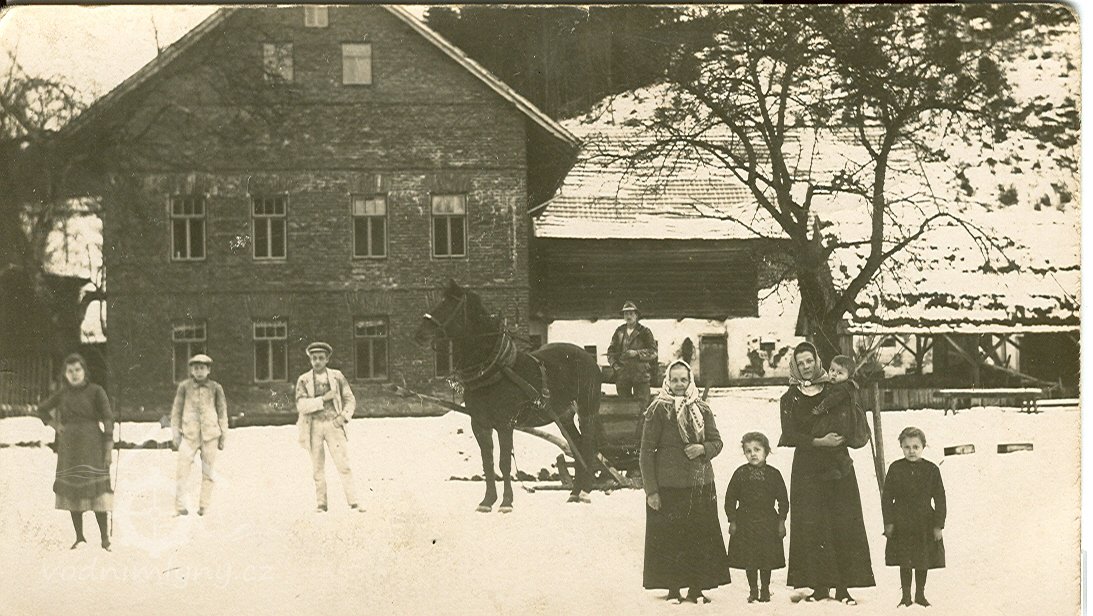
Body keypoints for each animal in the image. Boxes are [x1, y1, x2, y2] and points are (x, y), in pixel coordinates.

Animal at [413, 280, 603, 512]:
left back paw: (585, 491)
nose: (420, 334)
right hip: (564, 416)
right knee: (576, 446)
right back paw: (574, 492)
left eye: (448, 305)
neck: (493, 369)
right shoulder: (480, 424)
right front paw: (487, 501)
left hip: (587, 410)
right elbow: (488, 462)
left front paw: (506, 502)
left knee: (587, 447)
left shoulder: (505, 423)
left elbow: (504, 462)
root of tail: (588, 357)